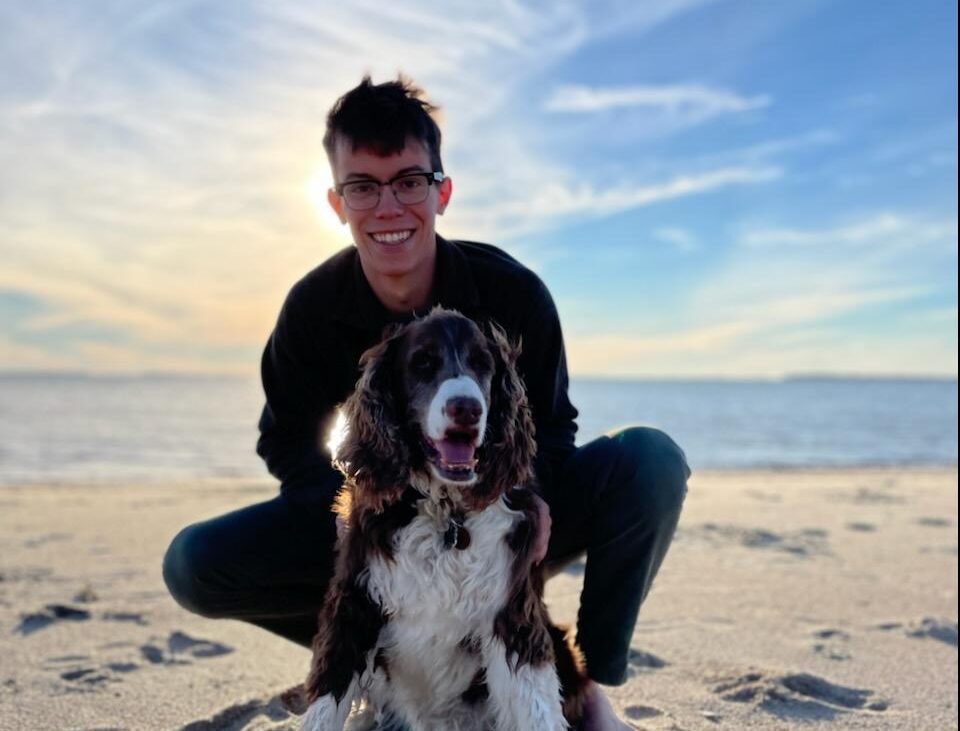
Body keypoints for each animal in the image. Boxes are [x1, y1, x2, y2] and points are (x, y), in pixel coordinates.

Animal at [302, 308, 584, 731]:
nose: (466, 408)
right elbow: (325, 704)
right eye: (422, 362)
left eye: (482, 364)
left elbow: (536, 709)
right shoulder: (354, 607)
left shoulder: (512, 617)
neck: (447, 512)